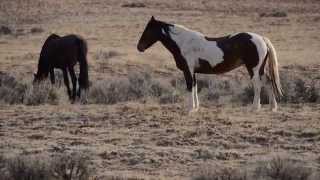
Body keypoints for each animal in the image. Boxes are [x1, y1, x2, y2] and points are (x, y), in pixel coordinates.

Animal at [138, 16, 282, 112]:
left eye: (148, 30)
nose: (139, 47)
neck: (183, 42)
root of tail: (261, 38)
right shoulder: (193, 71)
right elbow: (195, 86)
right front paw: (196, 107)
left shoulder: (188, 70)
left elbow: (189, 86)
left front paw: (190, 109)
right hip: (260, 69)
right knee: (269, 82)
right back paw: (272, 107)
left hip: (254, 69)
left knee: (257, 85)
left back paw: (255, 107)